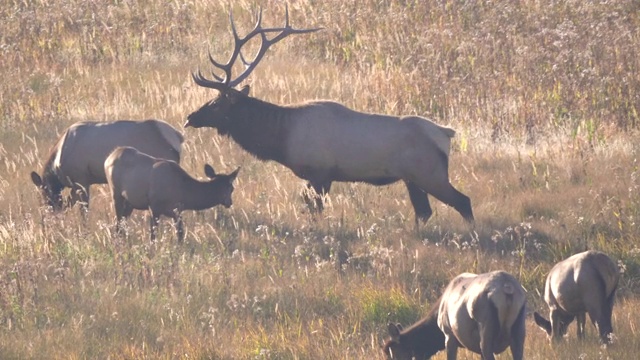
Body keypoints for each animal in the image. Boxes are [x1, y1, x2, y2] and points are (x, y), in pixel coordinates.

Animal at [105, 146, 240, 242]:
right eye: (231, 188)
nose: (230, 202)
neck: (182, 192)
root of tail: (109, 157)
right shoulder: (153, 206)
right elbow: (153, 236)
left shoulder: (177, 211)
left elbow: (180, 234)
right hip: (115, 192)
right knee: (118, 222)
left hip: (130, 202)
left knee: (122, 223)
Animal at [185, 5, 476, 228]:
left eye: (216, 103)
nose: (190, 117)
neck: (282, 139)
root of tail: (446, 133)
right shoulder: (315, 177)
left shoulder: (321, 172)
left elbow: (316, 209)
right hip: (413, 178)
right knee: (424, 211)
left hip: (430, 173)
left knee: (463, 201)